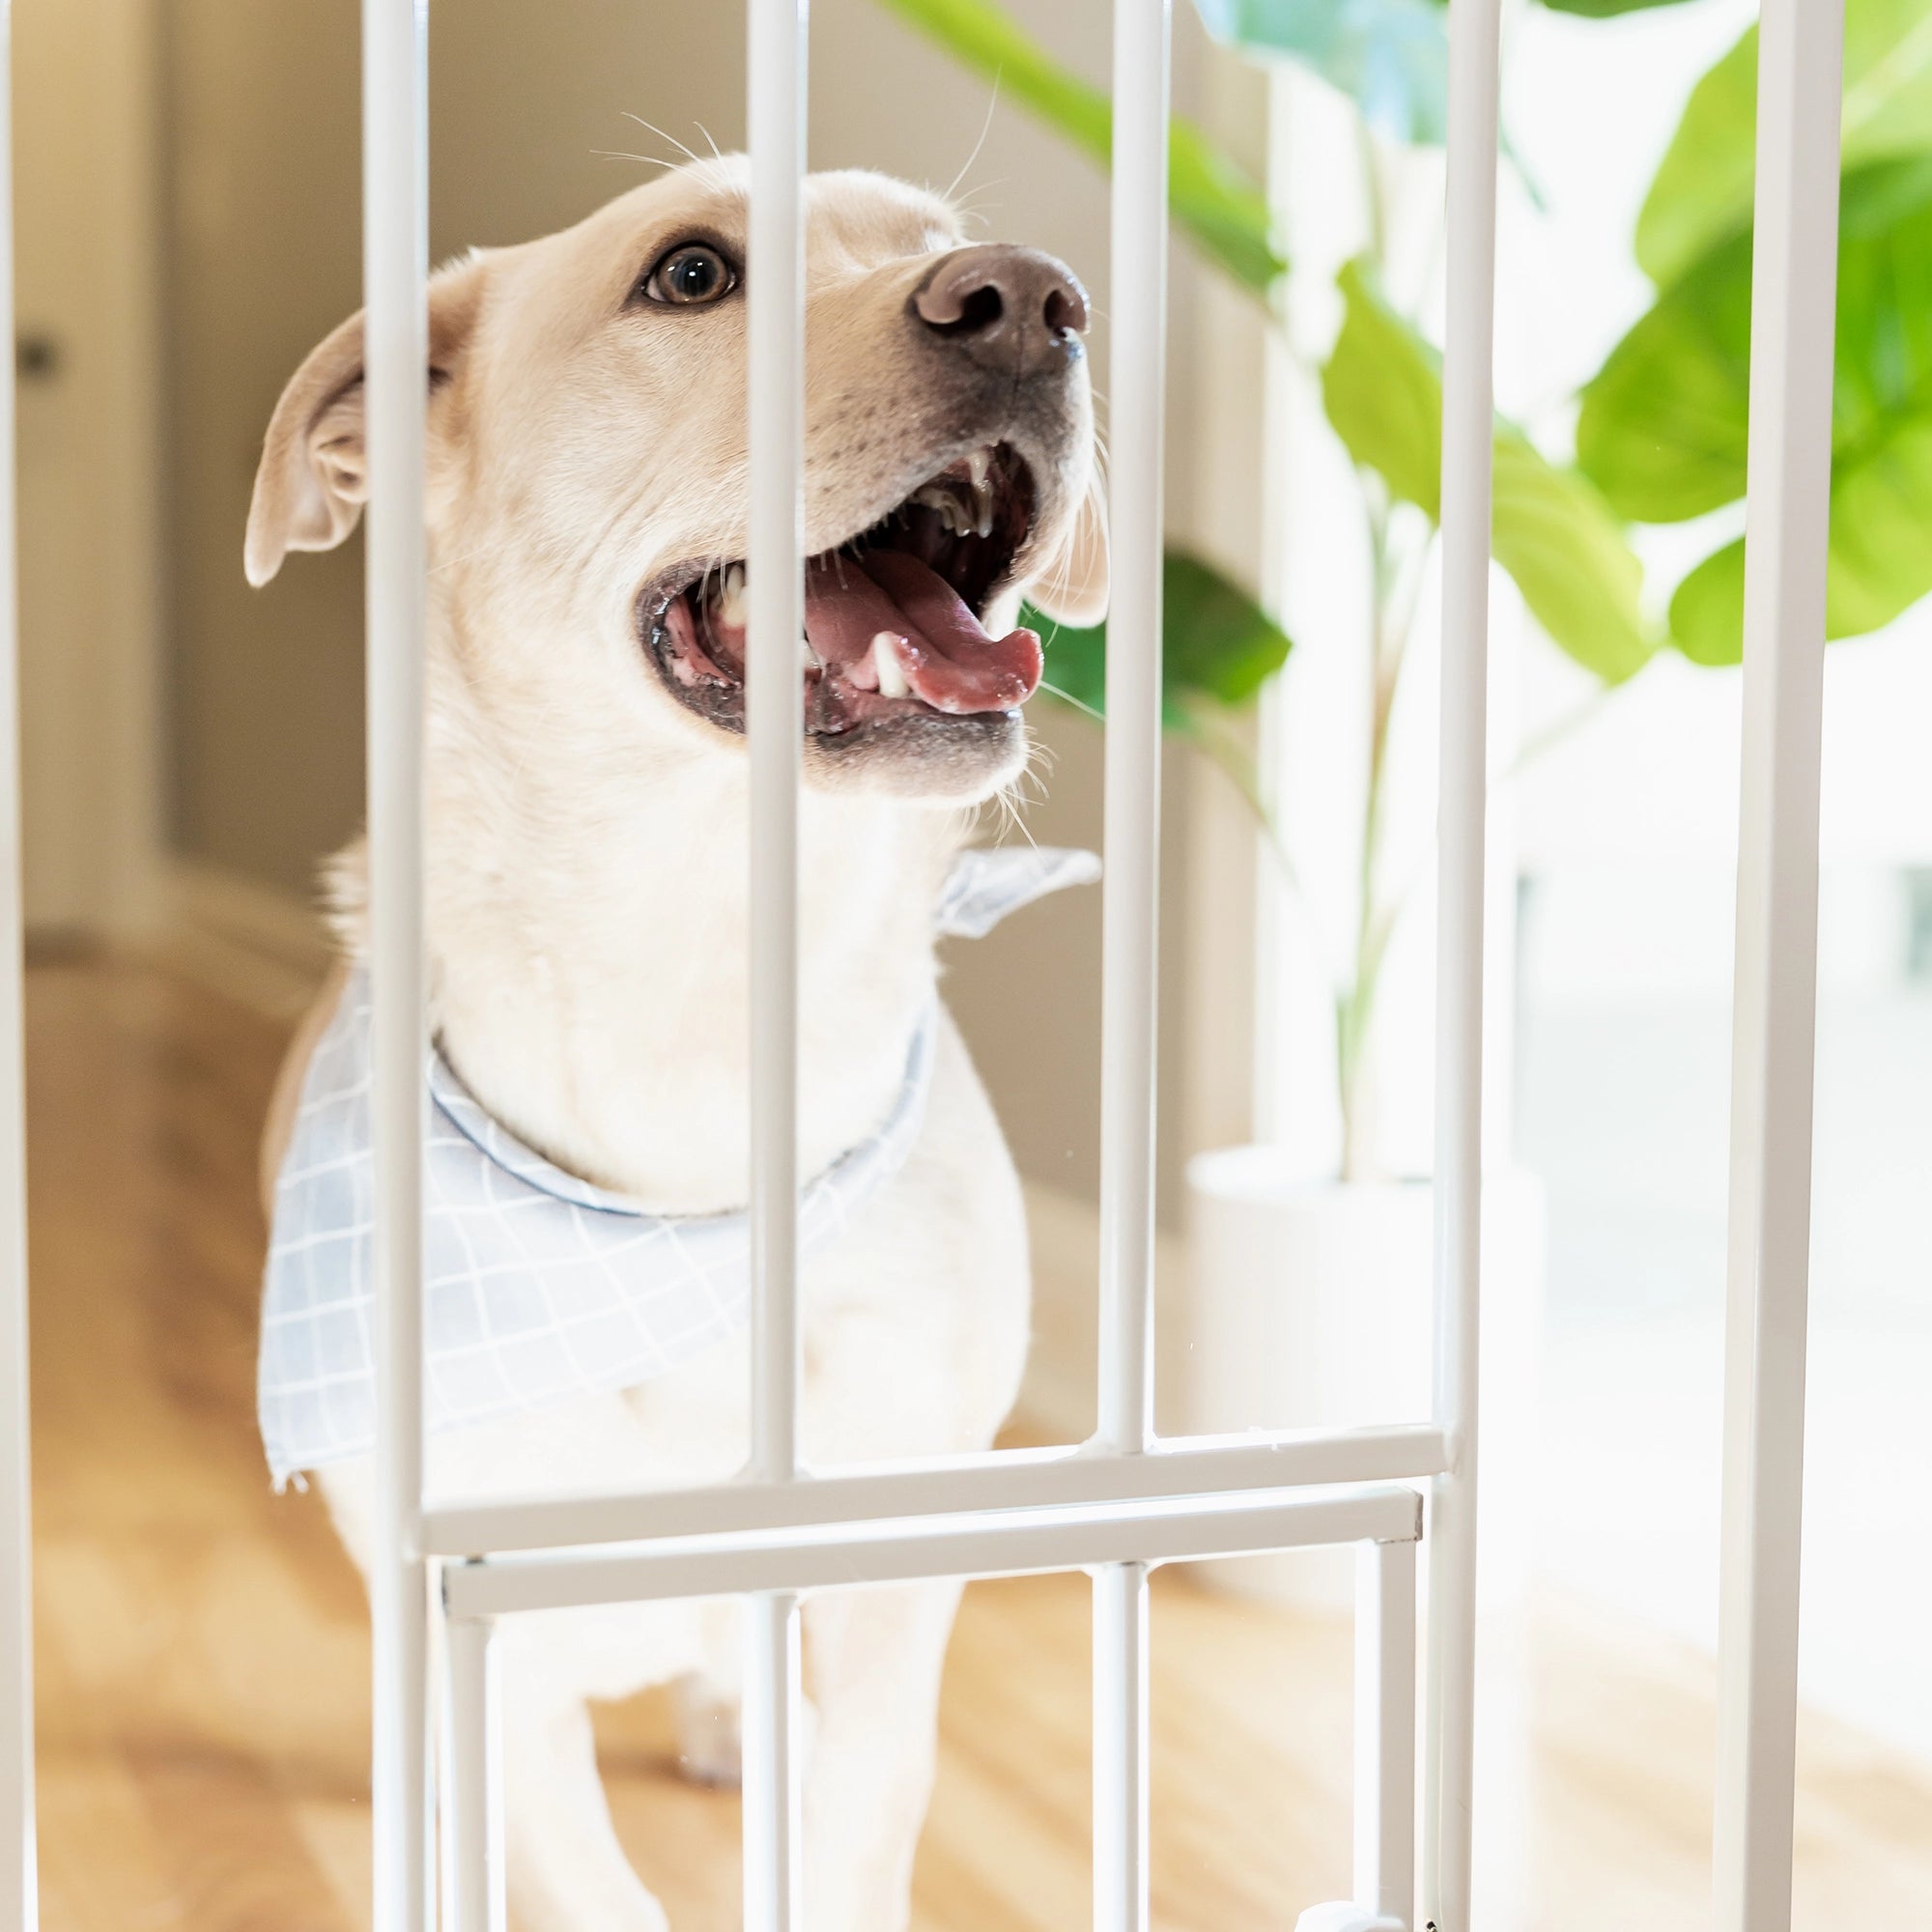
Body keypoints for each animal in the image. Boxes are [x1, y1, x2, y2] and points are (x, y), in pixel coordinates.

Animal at [251, 155, 1113, 1932]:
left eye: (940, 242)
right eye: (693, 273)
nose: (1033, 301)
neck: (709, 988)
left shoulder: (887, 1582)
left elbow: (855, 1820)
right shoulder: (480, 1608)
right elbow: (582, 1868)